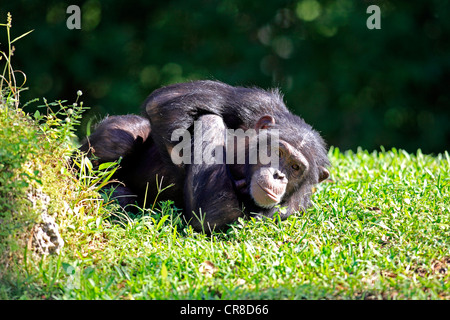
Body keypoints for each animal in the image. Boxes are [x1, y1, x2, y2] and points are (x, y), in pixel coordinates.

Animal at [79, 80, 328, 232]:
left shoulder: (291, 208)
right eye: (278, 151)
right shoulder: (255, 102)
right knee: (124, 134)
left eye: (295, 167)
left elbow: (215, 216)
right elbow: (166, 103)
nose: (279, 175)